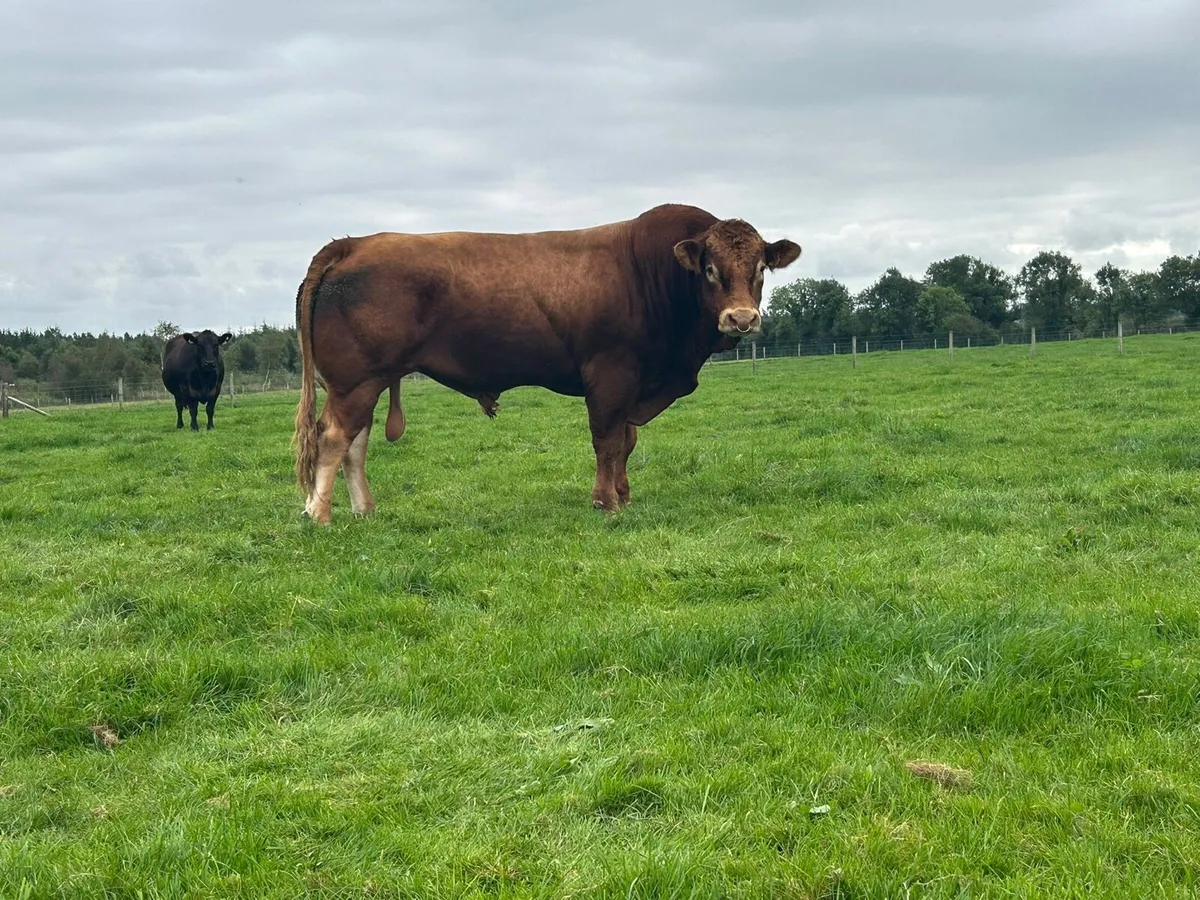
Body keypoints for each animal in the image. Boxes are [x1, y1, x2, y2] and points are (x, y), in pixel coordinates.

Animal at [292, 203, 802, 523]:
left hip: (365, 381)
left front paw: (623, 496)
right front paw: (606, 503)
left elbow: (627, 442)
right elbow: (607, 442)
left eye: (760, 269)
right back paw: (318, 514)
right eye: (710, 269)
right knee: (333, 438)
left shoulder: (633, 385)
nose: (741, 318)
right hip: (355, 381)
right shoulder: (610, 375)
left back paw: (364, 509)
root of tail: (355, 243)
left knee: (355, 444)